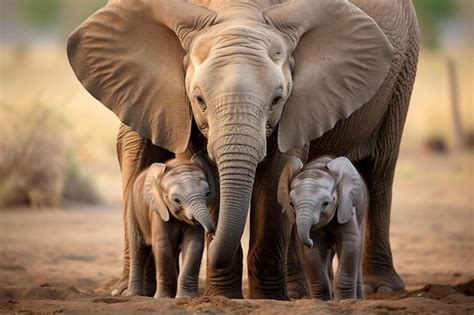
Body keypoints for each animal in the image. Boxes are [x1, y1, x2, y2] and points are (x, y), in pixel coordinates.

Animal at [126, 153, 215, 298]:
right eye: (176, 200)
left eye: (207, 194)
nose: (212, 233)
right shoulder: (158, 208)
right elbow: (162, 244)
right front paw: (164, 297)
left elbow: (194, 244)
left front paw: (186, 297)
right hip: (133, 209)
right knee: (138, 250)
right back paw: (134, 295)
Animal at [280, 156, 368, 302]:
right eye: (291, 204)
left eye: (325, 204)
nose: (308, 240)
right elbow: (312, 253)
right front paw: (321, 301)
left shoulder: (346, 207)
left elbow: (350, 243)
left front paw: (345, 300)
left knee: (359, 249)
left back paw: (359, 299)